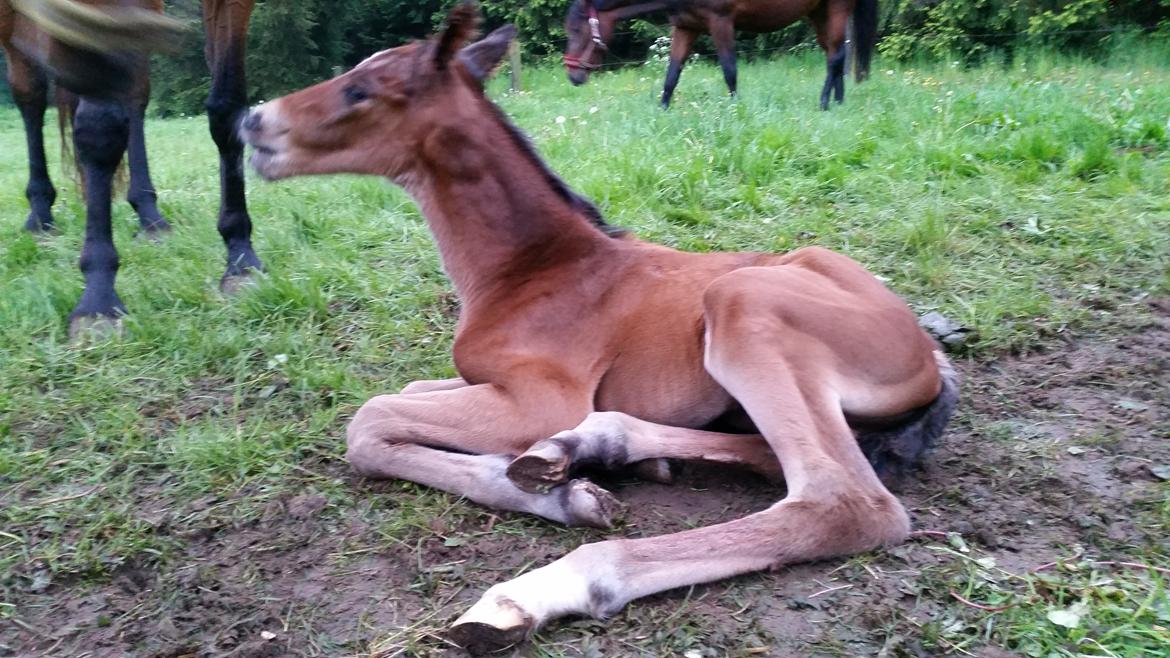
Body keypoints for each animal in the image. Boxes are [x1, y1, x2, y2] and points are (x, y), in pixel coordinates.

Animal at [3, 0, 260, 334]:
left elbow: (226, 109)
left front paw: (241, 259)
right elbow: (99, 125)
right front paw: (98, 301)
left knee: (135, 90)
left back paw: (149, 214)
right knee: (30, 94)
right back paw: (40, 213)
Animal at [561, 0, 875, 107]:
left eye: (576, 29)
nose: (572, 75)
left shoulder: (721, 22)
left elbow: (729, 70)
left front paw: (735, 109)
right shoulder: (686, 27)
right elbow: (671, 75)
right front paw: (663, 109)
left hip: (836, 8)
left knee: (835, 57)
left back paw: (824, 103)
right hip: (818, 11)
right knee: (835, 55)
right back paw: (838, 101)